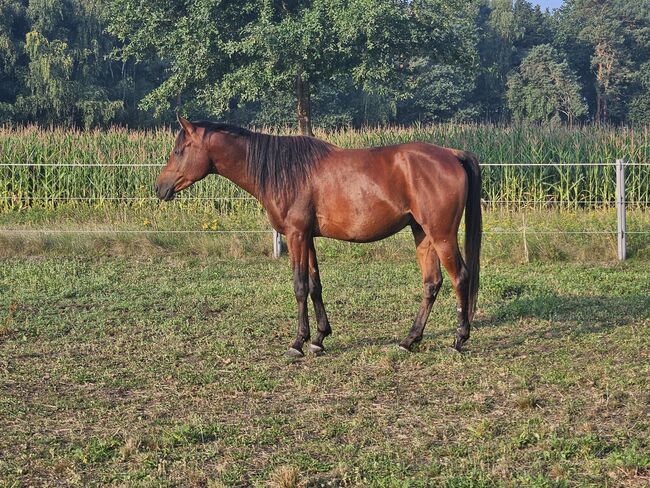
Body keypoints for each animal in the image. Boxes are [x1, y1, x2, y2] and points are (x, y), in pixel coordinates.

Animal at [155, 116, 482, 357]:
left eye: (179, 151)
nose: (159, 188)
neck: (284, 171)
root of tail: (452, 154)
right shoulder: (307, 237)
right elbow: (315, 285)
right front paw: (319, 338)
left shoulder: (296, 235)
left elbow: (300, 287)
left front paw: (297, 343)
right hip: (422, 233)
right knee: (432, 283)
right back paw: (409, 340)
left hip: (441, 235)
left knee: (460, 277)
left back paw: (458, 339)